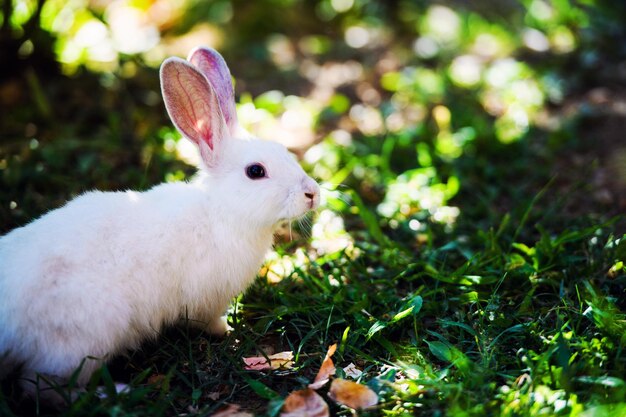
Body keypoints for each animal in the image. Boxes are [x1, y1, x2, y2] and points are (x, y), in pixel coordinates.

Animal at [0, 47, 320, 404]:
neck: (221, 212)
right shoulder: (206, 299)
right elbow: (207, 320)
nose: (312, 193)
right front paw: (227, 330)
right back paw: (114, 392)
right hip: (79, 344)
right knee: (43, 385)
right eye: (255, 171)